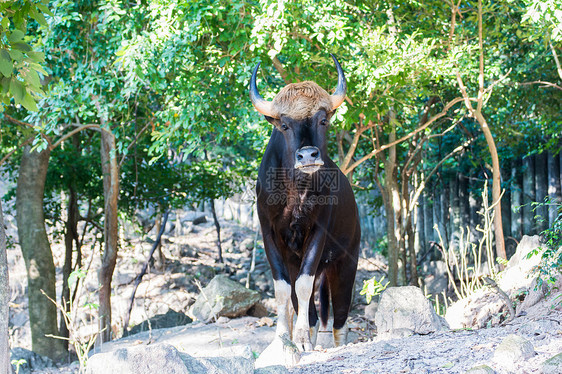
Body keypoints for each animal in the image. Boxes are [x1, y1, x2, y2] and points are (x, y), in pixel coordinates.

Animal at [248, 54, 358, 350]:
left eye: (322, 120)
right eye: (284, 125)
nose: (308, 155)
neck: (295, 194)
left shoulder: (318, 232)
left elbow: (304, 285)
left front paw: (299, 339)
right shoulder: (269, 234)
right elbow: (284, 288)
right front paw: (284, 337)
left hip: (347, 261)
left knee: (340, 315)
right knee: (310, 312)